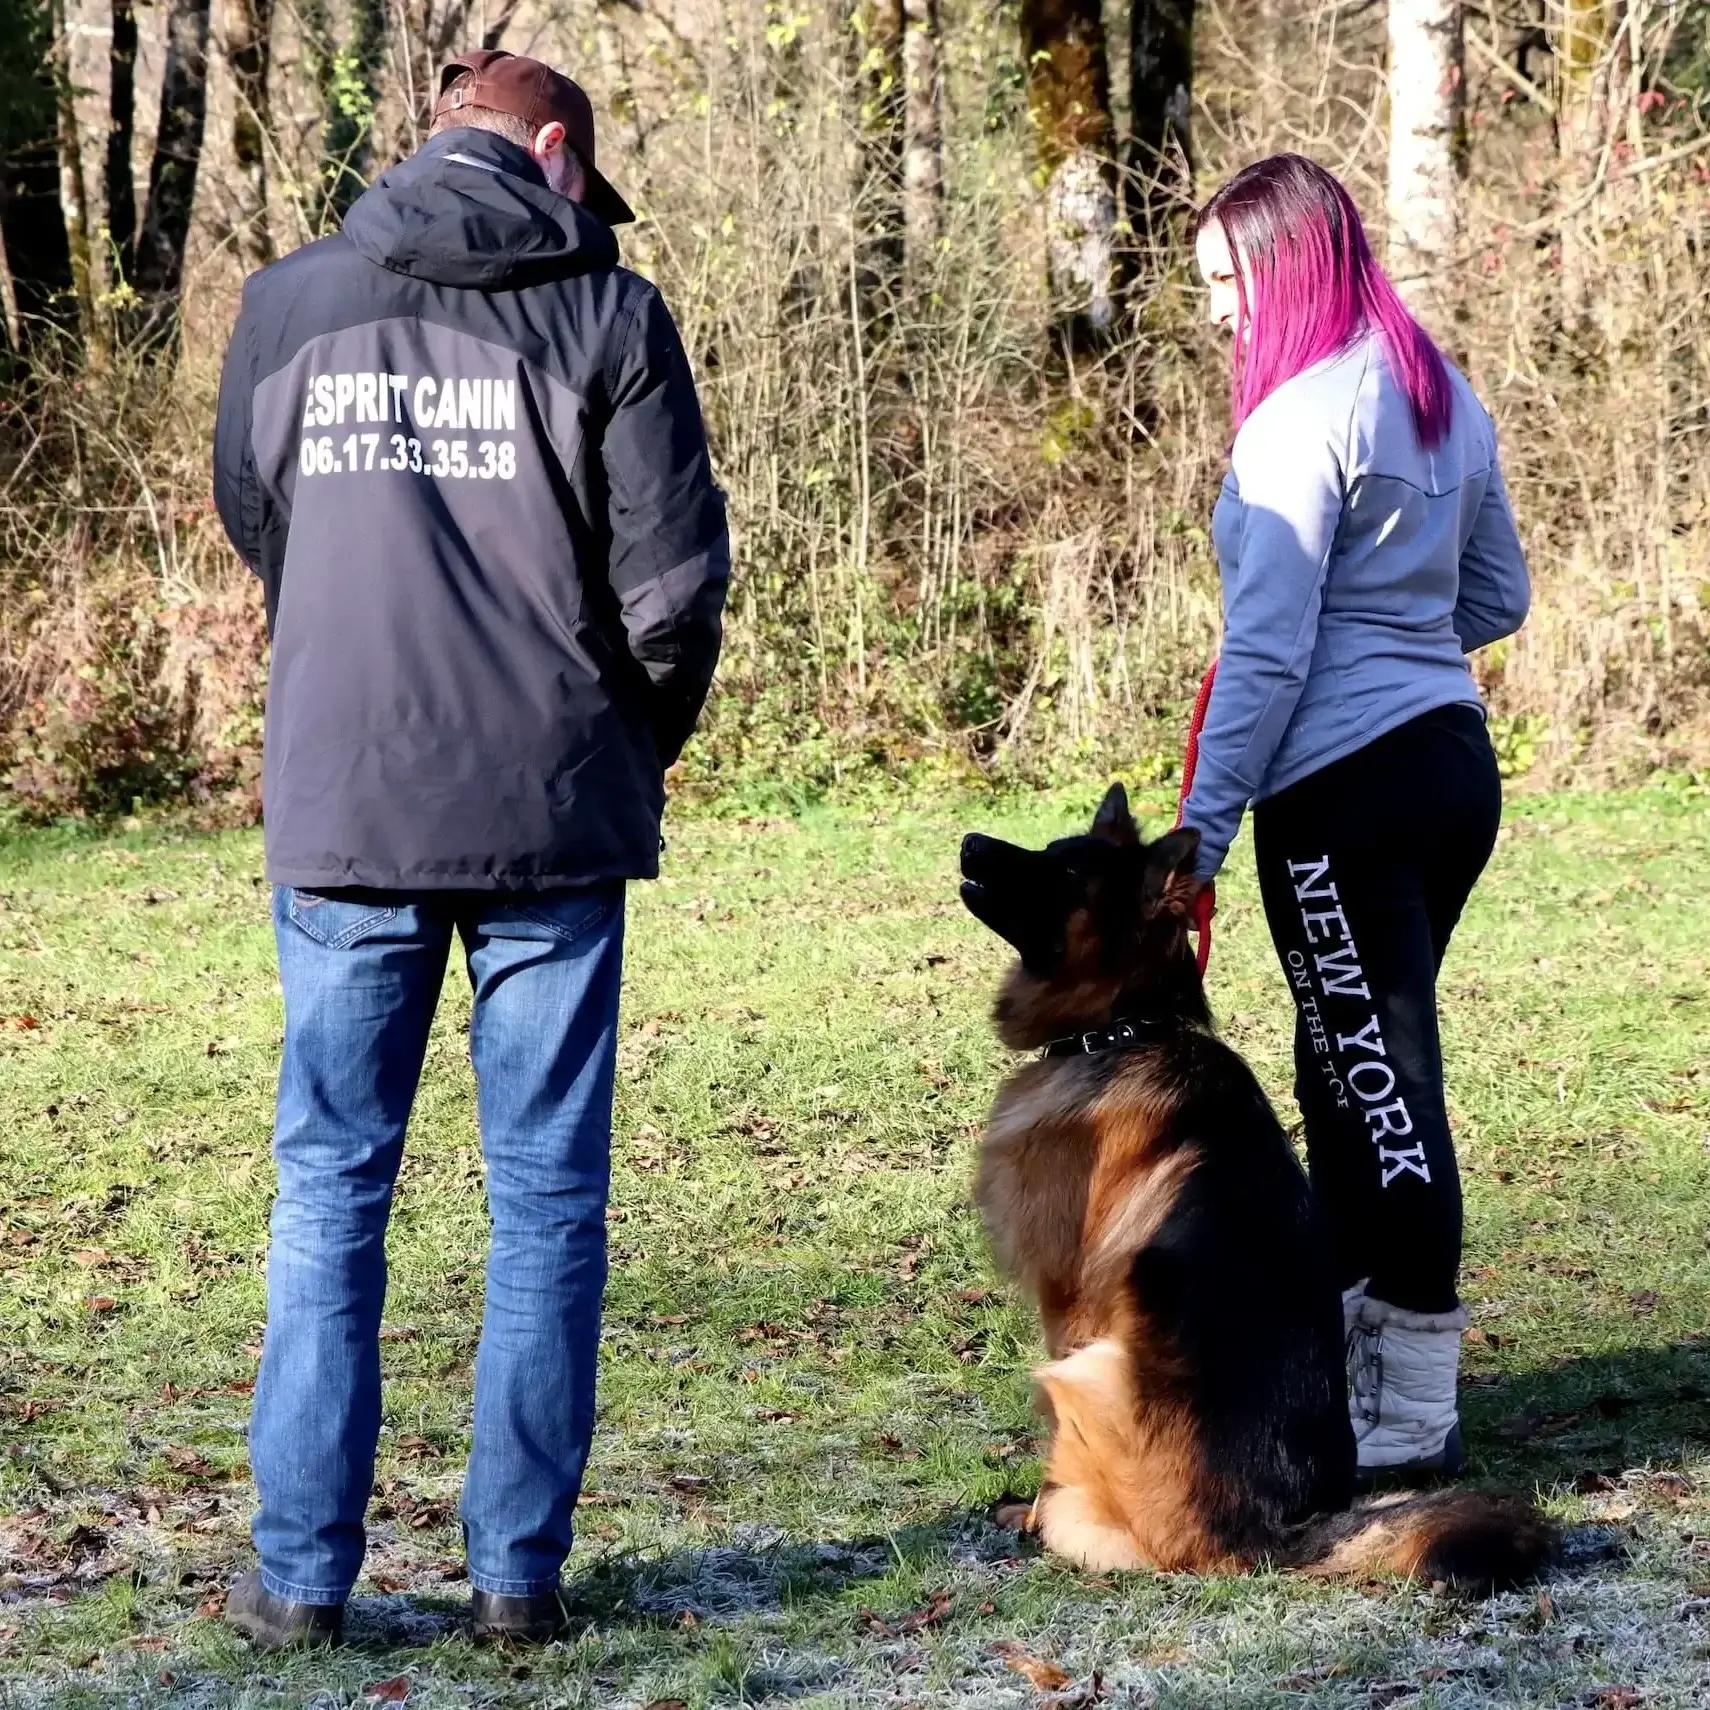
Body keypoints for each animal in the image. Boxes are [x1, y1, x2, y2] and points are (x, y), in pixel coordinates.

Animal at [957, 786, 1559, 1586]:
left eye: (1068, 873)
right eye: (1053, 851)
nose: (968, 841)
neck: (1124, 1029)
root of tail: (1272, 1530)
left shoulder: (1067, 1303)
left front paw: (1028, 1511)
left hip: (1085, 1374)